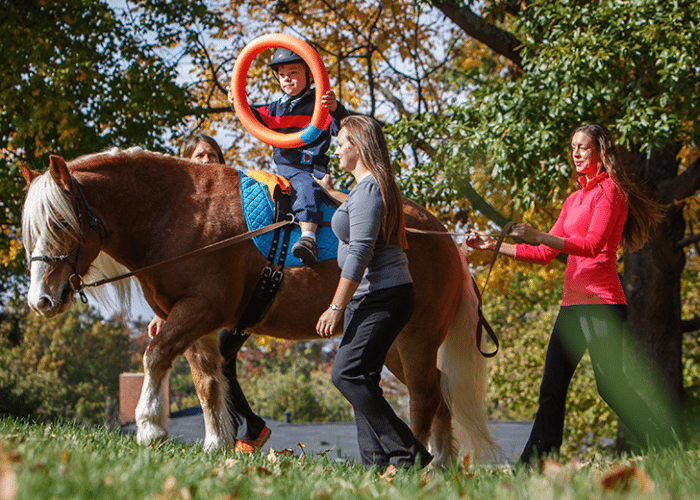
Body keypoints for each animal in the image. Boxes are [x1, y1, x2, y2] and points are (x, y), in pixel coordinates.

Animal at [19, 147, 496, 462]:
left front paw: (151, 428)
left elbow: (155, 355)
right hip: (393, 342)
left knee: (424, 396)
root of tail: (447, 241)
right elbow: (208, 382)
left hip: (416, 338)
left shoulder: (200, 310)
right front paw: (216, 443)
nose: (40, 300)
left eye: (59, 222)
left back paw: (422, 463)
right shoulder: (195, 322)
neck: (178, 213)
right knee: (439, 395)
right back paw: (441, 466)